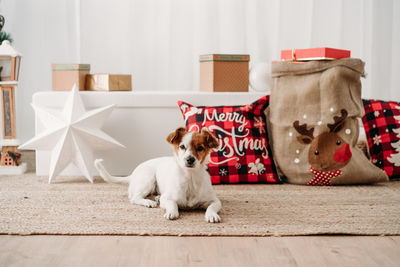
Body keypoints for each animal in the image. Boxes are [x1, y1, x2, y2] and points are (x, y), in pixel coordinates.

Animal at [95, 127, 223, 224]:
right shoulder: (166, 198)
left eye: (200, 148)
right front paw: (172, 212)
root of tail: (133, 174)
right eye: (182, 146)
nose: (190, 159)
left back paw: (155, 198)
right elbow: (172, 204)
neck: (190, 178)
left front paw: (211, 215)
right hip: (148, 179)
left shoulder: (215, 201)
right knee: (134, 198)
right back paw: (149, 202)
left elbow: (211, 207)